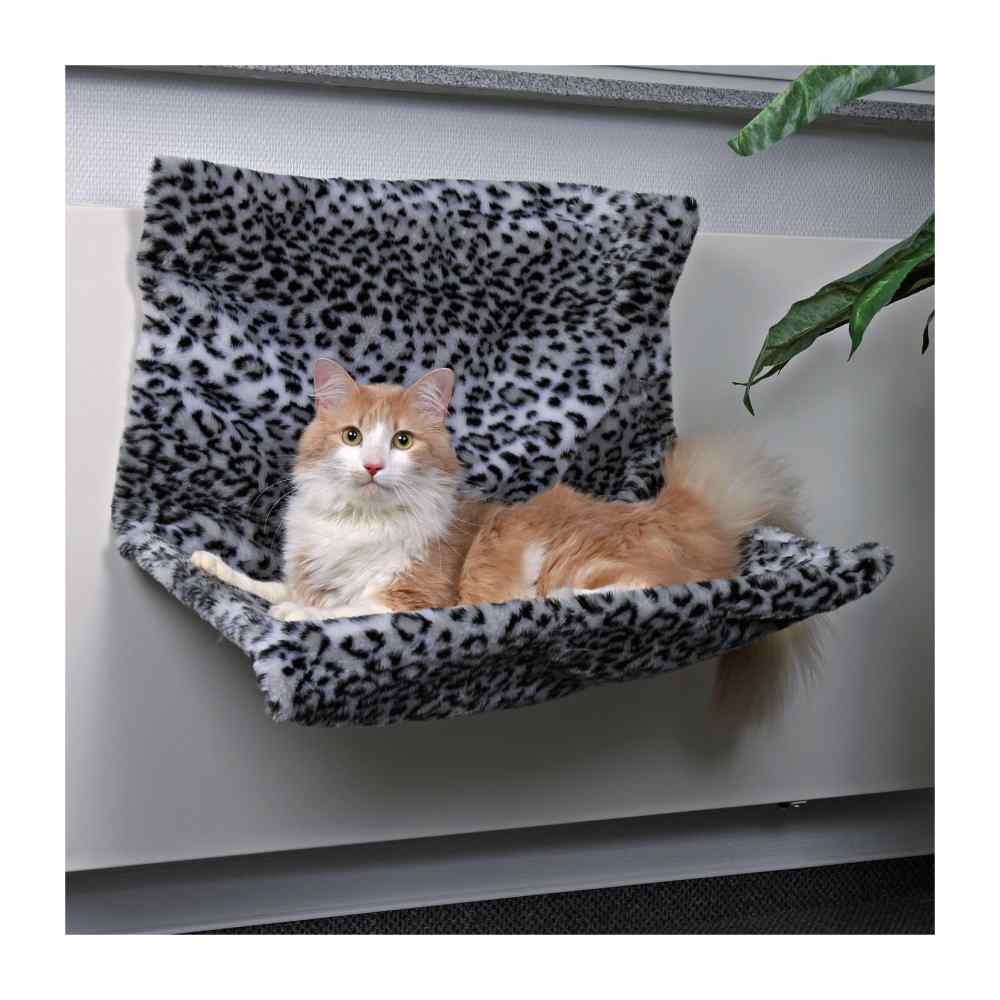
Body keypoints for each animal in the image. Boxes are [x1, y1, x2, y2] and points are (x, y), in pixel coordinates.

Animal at [191, 359, 819, 721]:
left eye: (401, 440)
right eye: (351, 436)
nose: (371, 466)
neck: (360, 522)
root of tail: (681, 512)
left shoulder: (412, 597)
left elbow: (339, 609)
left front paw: (296, 616)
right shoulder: (306, 571)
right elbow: (267, 585)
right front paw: (208, 564)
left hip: (585, 563)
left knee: (640, 589)